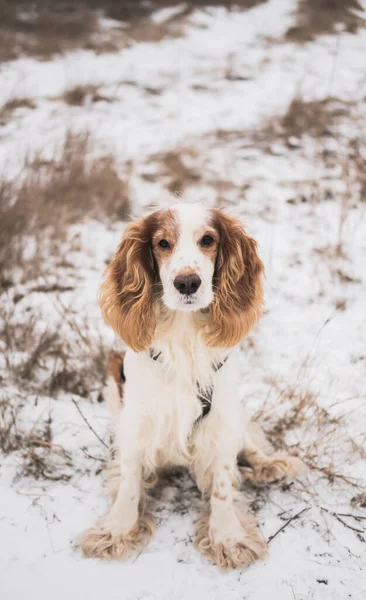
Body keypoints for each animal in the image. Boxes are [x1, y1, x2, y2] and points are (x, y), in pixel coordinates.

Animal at [76, 204, 304, 568]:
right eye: (162, 243)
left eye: (208, 240)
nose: (187, 282)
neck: (183, 334)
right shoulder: (137, 420)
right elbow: (129, 480)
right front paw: (117, 529)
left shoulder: (220, 418)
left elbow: (223, 483)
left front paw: (228, 537)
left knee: (248, 443)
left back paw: (269, 464)